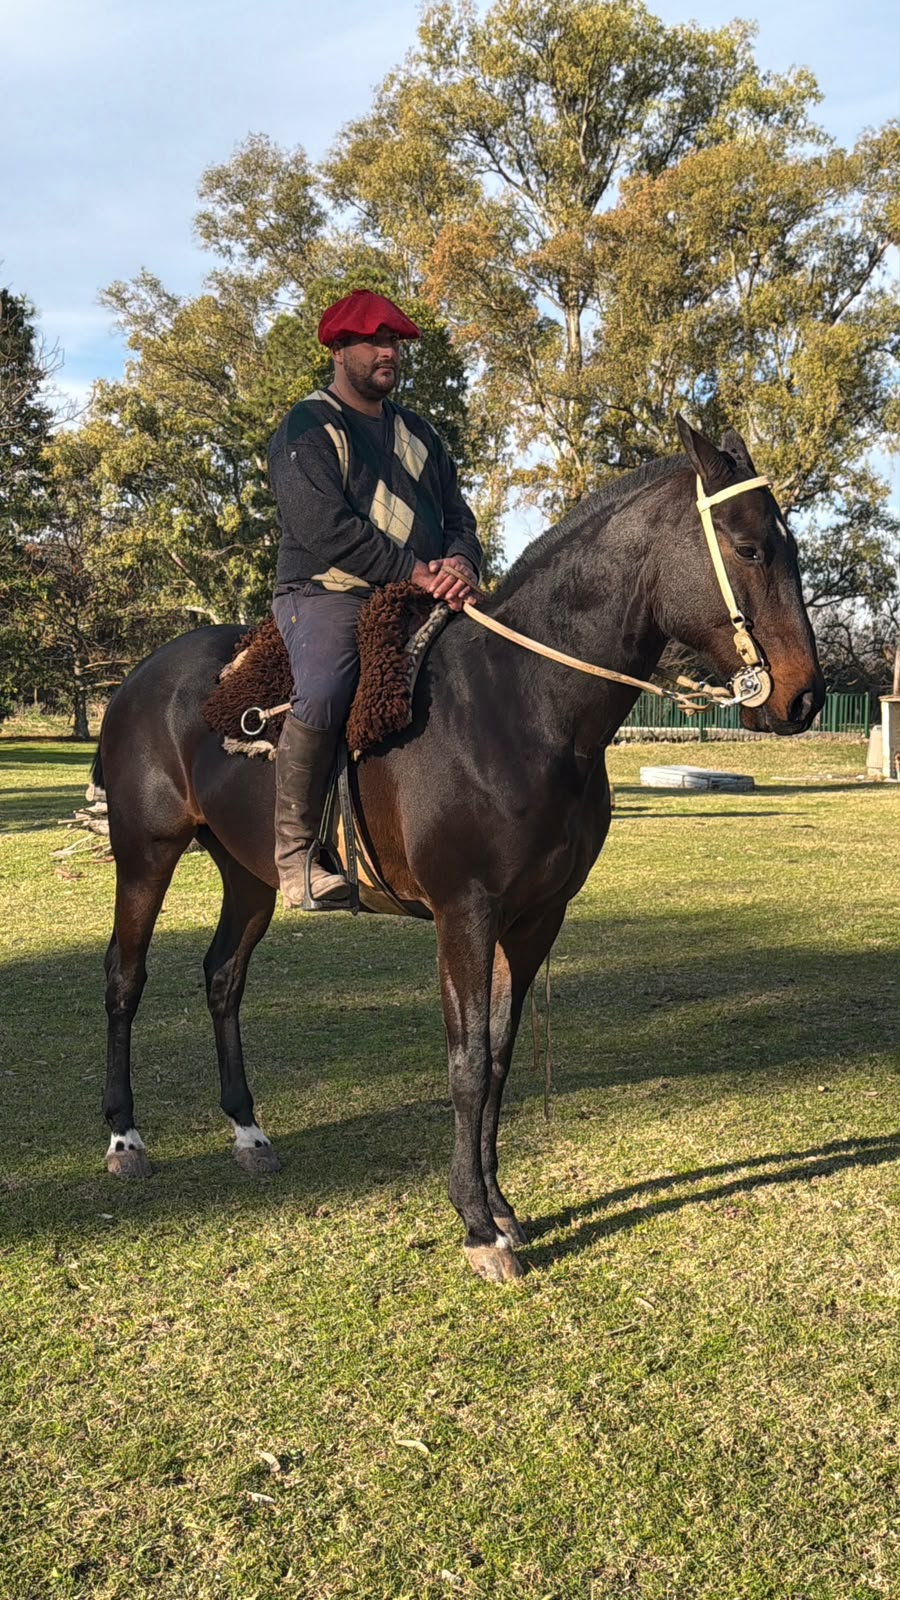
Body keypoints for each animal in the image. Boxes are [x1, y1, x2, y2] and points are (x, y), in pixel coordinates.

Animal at [93, 417, 824, 1281]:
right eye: (750, 549)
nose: (805, 696)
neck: (524, 703)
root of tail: (138, 679)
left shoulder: (535, 920)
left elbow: (500, 1058)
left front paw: (501, 1205)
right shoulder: (464, 914)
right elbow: (467, 1060)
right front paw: (477, 1225)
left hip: (250, 875)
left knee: (222, 978)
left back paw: (247, 1129)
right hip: (146, 854)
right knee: (125, 978)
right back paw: (124, 1138)